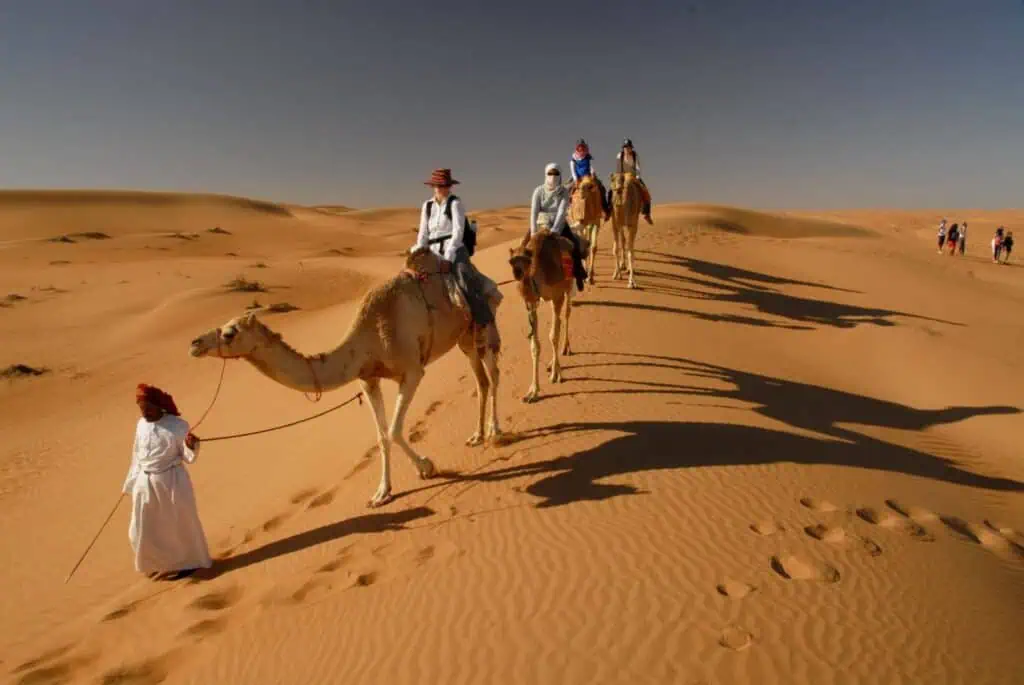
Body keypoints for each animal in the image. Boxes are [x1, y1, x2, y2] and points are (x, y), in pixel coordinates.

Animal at [188, 248, 503, 505]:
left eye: (230, 333)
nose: (195, 343)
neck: (369, 335)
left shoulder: (412, 371)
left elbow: (394, 430)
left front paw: (427, 466)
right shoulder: (368, 379)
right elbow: (381, 436)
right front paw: (382, 493)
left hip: (484, 323)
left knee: (494, 374)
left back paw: (496, 432)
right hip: (464, 337)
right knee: (481, 379)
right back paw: (477, 436)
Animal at [507, 229, 589, 401]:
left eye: (527, 260)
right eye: (510, 261)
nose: (517, 273)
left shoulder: (557, 295)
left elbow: (553, 335)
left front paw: (556, 375)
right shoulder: (532, 303)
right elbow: (535, 345)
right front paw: (533, 391)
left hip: (568, 287)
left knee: (566, 315)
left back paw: (565, 349)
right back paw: (551, 363)